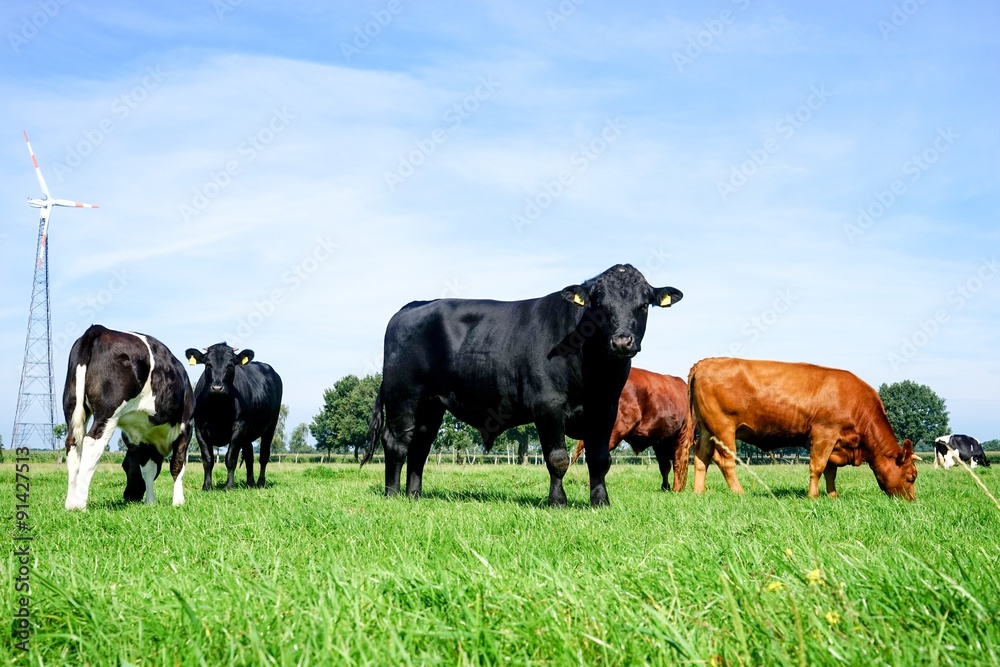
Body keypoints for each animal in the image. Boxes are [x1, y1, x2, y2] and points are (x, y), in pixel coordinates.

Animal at [62, 324, 193, 512]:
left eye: (124, 466)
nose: (129, 496)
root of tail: (98, 329)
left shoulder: (145, 438)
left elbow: (148, 470)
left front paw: (150, 501)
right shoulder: (186, 427)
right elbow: (177, 464)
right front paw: (178, 501)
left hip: (73, 407)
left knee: (73, 444)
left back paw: (70, 503)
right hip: (108, 413)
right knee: (92, 444)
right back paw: (80, 504)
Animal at [185, 344, 284, 490]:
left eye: (230, 365)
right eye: (208, 364)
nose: (217, 387)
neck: (218, 408)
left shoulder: (238, 428)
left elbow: (230, 458)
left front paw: (229, 486)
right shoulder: (199, 429)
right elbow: (207, 459)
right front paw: (206, 486)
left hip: (271, 426)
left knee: (264, 455)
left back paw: (260, 482)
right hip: (247, 434)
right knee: (249, 456)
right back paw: (250, 483)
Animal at [360, 264, 680, 506]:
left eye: (643, 305)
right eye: (599, 304)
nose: (622, 341)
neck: (594, 371)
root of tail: (411, 307)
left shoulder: (605, 410)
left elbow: (600, 459)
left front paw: (600, 501)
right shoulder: (548, 405)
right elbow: (557, 458)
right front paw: (557, 502)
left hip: (431, 405)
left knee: (420, 447)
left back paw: (414, 495)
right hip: (404, 396)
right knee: (397, 442)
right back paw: (392, 495)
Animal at [688, 360, 916, 500]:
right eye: (912, 476)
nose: (912, 501)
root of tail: (706, 362)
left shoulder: (835, 443)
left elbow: (830, 471)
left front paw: (832, 496)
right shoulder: (825, 434)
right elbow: (818, 467)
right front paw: (813, 496)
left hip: (707, 429)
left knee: (701, 457)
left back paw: (699, 492)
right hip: (724, 427)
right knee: (725, 461)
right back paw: (739, 492)